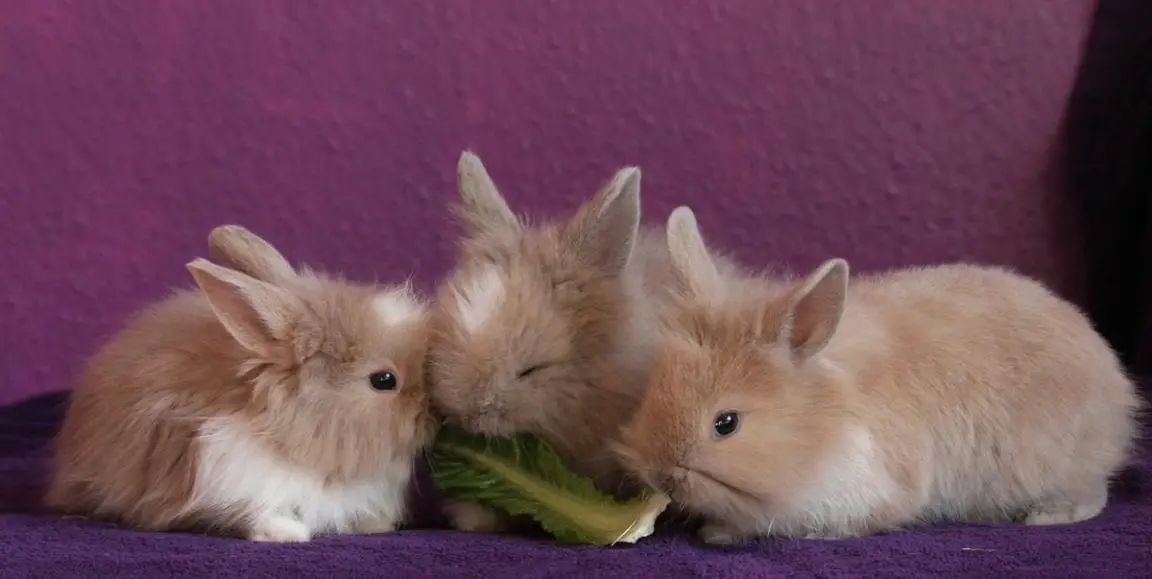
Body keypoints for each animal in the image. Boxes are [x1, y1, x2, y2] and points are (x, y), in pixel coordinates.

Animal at [45, 225, 437, 542]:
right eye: (384, 380)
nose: (432, 414)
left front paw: (376, 526)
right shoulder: (226, 480)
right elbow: (253, 514)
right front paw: (287, 533)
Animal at [612, 206, 1143, 544]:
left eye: (726, 424)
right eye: (650, 395)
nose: (660, 474)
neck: (819, 426)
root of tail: (1115, 383)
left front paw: (718, 533)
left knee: (1094, 493)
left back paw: (1049, 517)